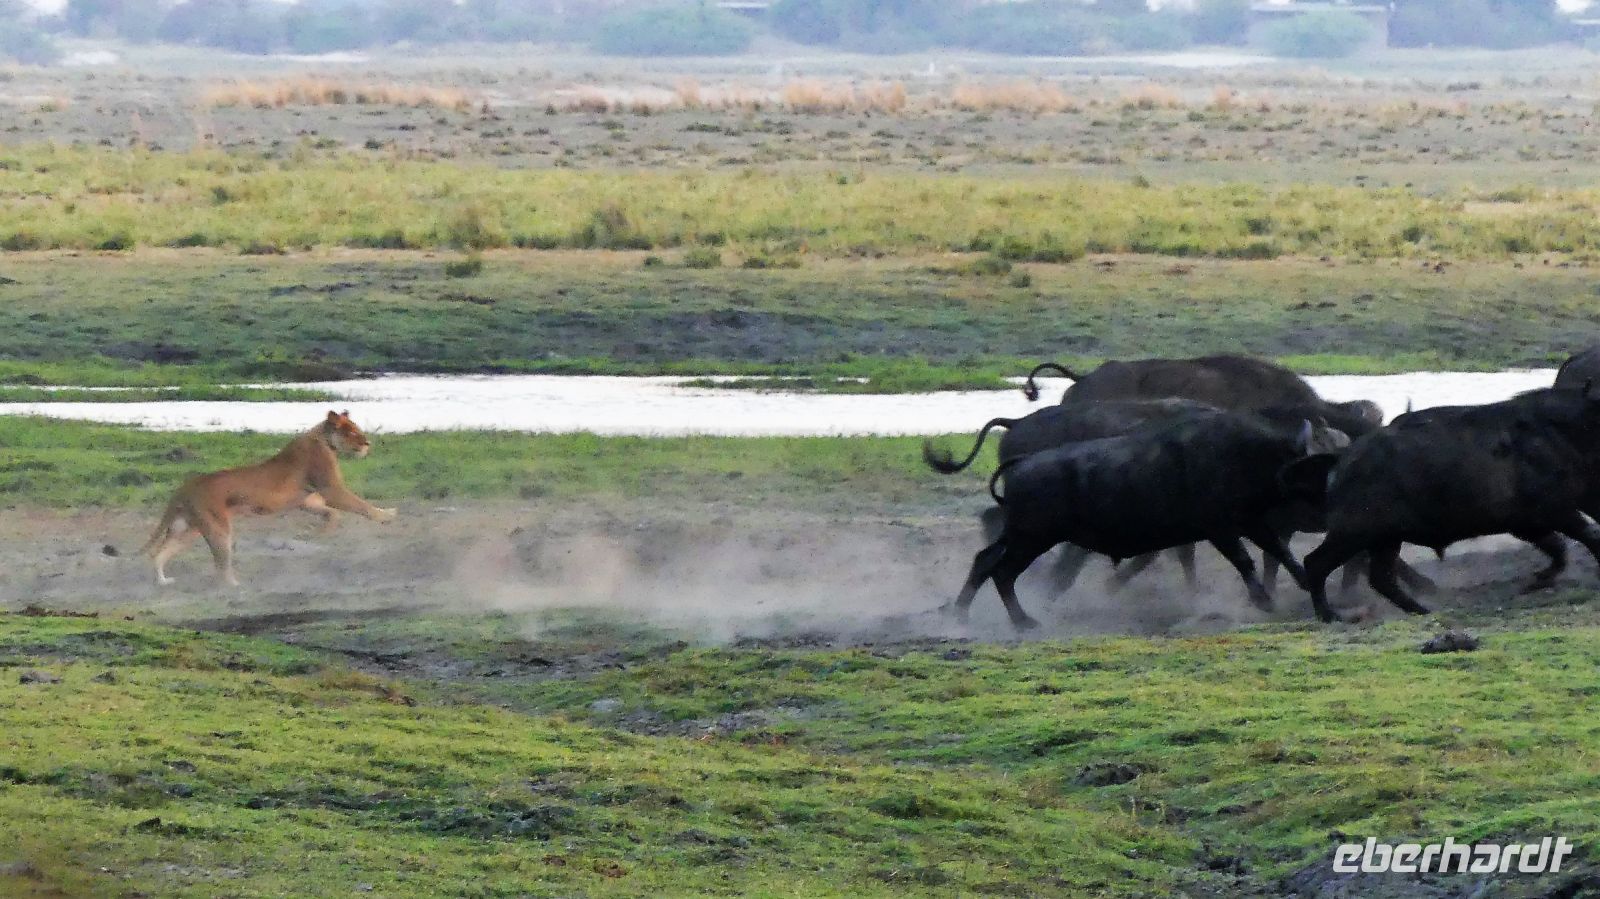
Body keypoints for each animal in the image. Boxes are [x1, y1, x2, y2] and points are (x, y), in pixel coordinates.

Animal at [138, 410, 397, 586]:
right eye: (351, 431)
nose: (367, 443)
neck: (323, 439)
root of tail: (186, 485)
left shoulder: (307, 500)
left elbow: (332, 513)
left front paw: (323, 532)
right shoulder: (332, 489)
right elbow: (362, 506)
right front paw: (386, 516)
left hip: (187, 527)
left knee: (159, 553)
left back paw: (163, 581)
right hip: (217, 528)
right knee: (220, 566)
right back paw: (235, 586)